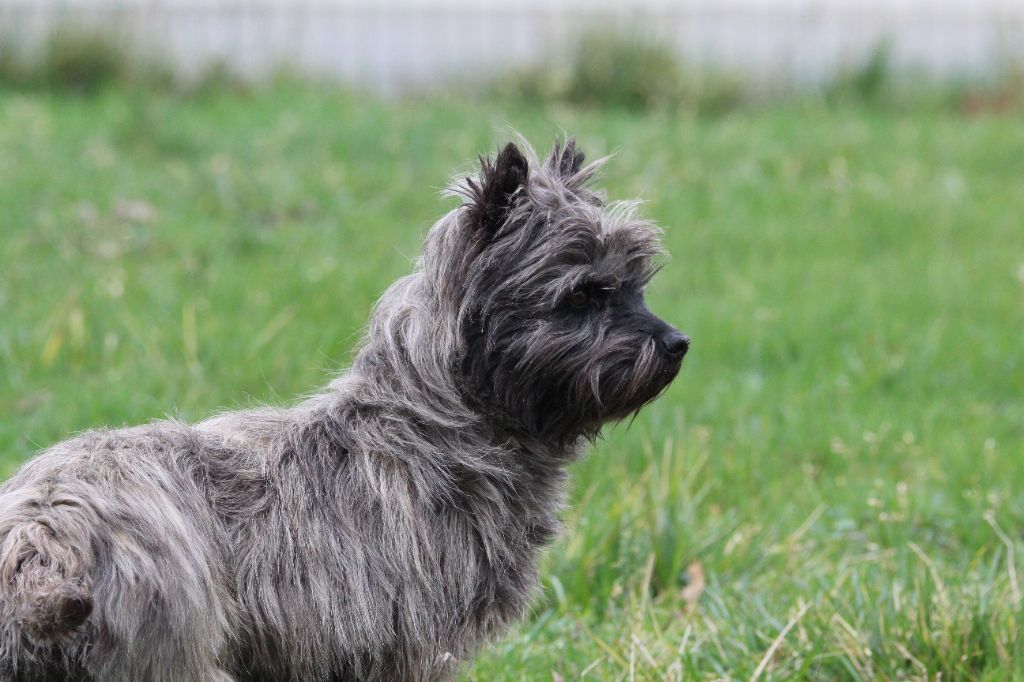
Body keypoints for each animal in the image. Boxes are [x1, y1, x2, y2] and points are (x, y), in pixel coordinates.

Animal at [2, 138, 688, 679]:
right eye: (584, 295)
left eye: (636, 285)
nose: (678, 344)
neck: (438, 424)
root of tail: (44, 540)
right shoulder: (402, 647)